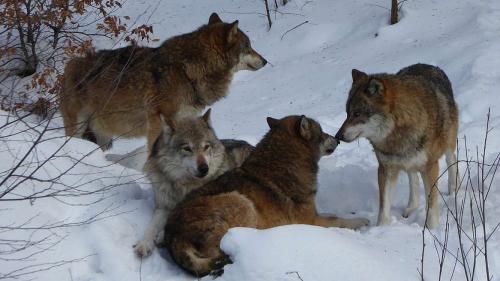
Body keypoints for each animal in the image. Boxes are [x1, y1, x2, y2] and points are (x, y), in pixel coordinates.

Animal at [58, 11, 268, 149]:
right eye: (248, 46)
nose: (265, 61)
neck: (187, 69)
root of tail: (68, 67)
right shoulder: (158, 120)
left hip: (103, 135)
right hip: (77, 127)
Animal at [164, 114, 368, 276]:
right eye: (323, 132)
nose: (338, 139)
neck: (286, 162)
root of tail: (172, 236)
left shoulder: (314, 213)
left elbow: (333, 214)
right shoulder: (310, 220)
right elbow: (339, 220)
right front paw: (362, 222)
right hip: (241, 202)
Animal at [334, 63, 458, 228]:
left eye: (357, 114)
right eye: (347, 113)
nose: (337, 136)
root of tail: (430, 65)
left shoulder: (430, 167)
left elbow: (431, 204)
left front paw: (432, 229)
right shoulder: (386, 169)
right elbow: (384, 207)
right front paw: (381, 228)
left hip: (448, 143)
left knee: (452, 161)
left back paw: (454, 189)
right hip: (408, 161)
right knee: (413, 177)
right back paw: (411, 207)